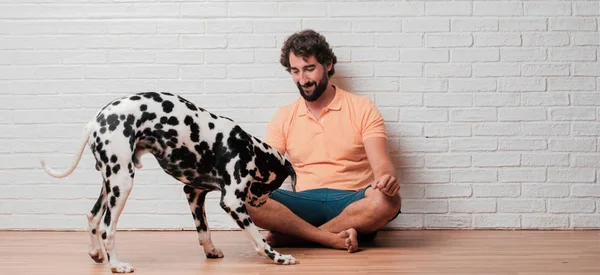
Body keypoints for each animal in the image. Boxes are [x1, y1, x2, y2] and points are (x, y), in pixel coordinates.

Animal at [39, 92, 298, 274]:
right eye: (270, 188)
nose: (260, 204)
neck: (249, 149)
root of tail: (95, 122)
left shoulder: (194, 193)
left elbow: (204, 230)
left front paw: (211, 251)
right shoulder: (233, 202)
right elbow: (259, 239)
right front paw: (279, 258)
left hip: (110, 182)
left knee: (92, 216)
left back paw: (96, 253)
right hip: (122, 182)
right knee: (106, 227)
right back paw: (117, 265)